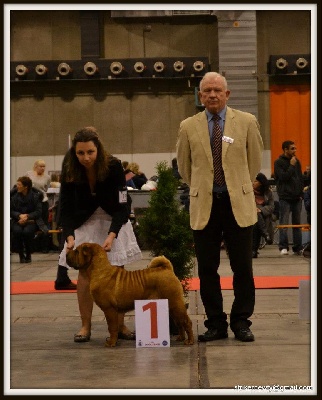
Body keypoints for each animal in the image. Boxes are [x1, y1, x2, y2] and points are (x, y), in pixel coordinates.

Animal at [66, 241, 194, 346]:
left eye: (76, 251)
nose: (67, 253)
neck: (99, 270)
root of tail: (166, 268)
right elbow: (113, 327)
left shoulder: (109, 309)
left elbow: (112, 327)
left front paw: (111, 343)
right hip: (171, 305)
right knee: (179, 322)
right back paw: (181, 338)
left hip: (175, 302)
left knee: (186, 322)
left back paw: (190, 341)